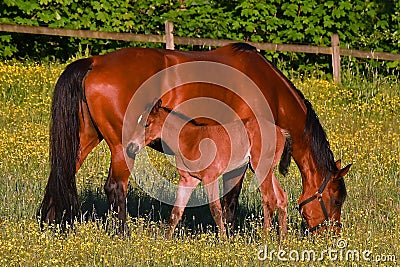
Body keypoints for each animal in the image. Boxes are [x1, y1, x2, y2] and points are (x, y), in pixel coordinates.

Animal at [124, 100, 288, 239]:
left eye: (147, 124)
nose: (131, 147)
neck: (191, 141)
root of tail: (281, 131)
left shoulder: (210, 177)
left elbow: (216, 209)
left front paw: (224, 240)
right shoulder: (188, 179)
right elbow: (176, 211)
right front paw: (166, 240)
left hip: (261, 167)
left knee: (270, 199)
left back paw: (264, 239)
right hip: (266, 170)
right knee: (281, 197)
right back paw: (283, 239)